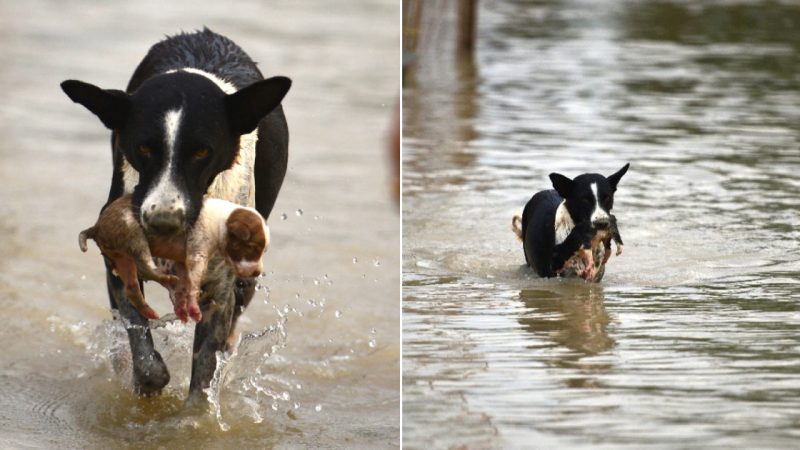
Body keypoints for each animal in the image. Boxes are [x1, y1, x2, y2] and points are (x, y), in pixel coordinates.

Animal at [79, 195, 270, 322]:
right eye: (253, 248)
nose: (257, 272)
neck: (222, 222)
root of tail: (97, 226)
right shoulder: (196, 254)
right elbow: (193, 285)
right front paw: (193, 309)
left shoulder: (182, 262)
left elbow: (185, 285)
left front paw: (181, 307)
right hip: (133, 233)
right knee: (145, 265)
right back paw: (166, 278)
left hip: (122, 258)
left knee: (132, 288)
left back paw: (149, 310)